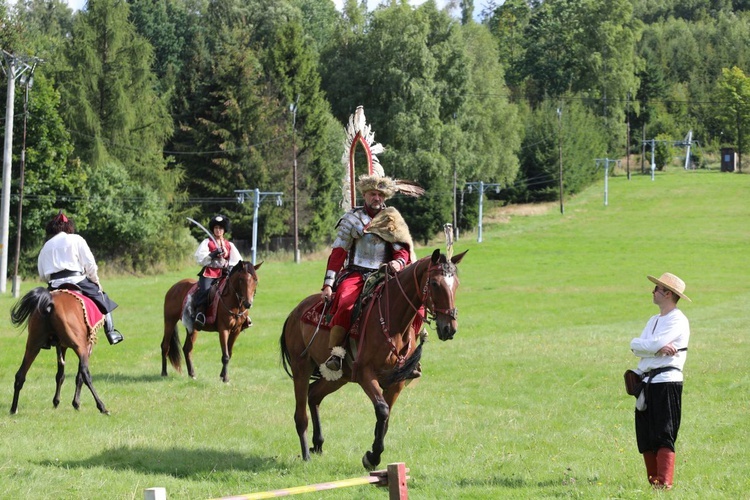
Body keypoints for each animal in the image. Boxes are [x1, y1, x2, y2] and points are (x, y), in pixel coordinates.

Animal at [9, 288, 109, 416]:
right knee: (86, 374)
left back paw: (13, 409)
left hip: (33, 345)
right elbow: (79, 376)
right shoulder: (87, 347)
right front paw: (76, 403)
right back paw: (102, 406)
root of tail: (50, 302)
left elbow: (60, 375)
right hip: (80, 347)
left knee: (20, 375)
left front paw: (56, 402)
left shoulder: (61, 347)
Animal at [282, 249, 468, 468]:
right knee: (301, 413)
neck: (393, 322)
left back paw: (318, 443)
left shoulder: (397, 381)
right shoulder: (365, 374)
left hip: (338, 377)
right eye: (435, 284)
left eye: (456, 284)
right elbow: (382, 409)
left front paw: (373, 454)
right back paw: (306, 454)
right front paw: (373, 456)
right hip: (301, 368)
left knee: (314, 395)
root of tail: (295, 312)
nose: (449, 328)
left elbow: (386, 419)